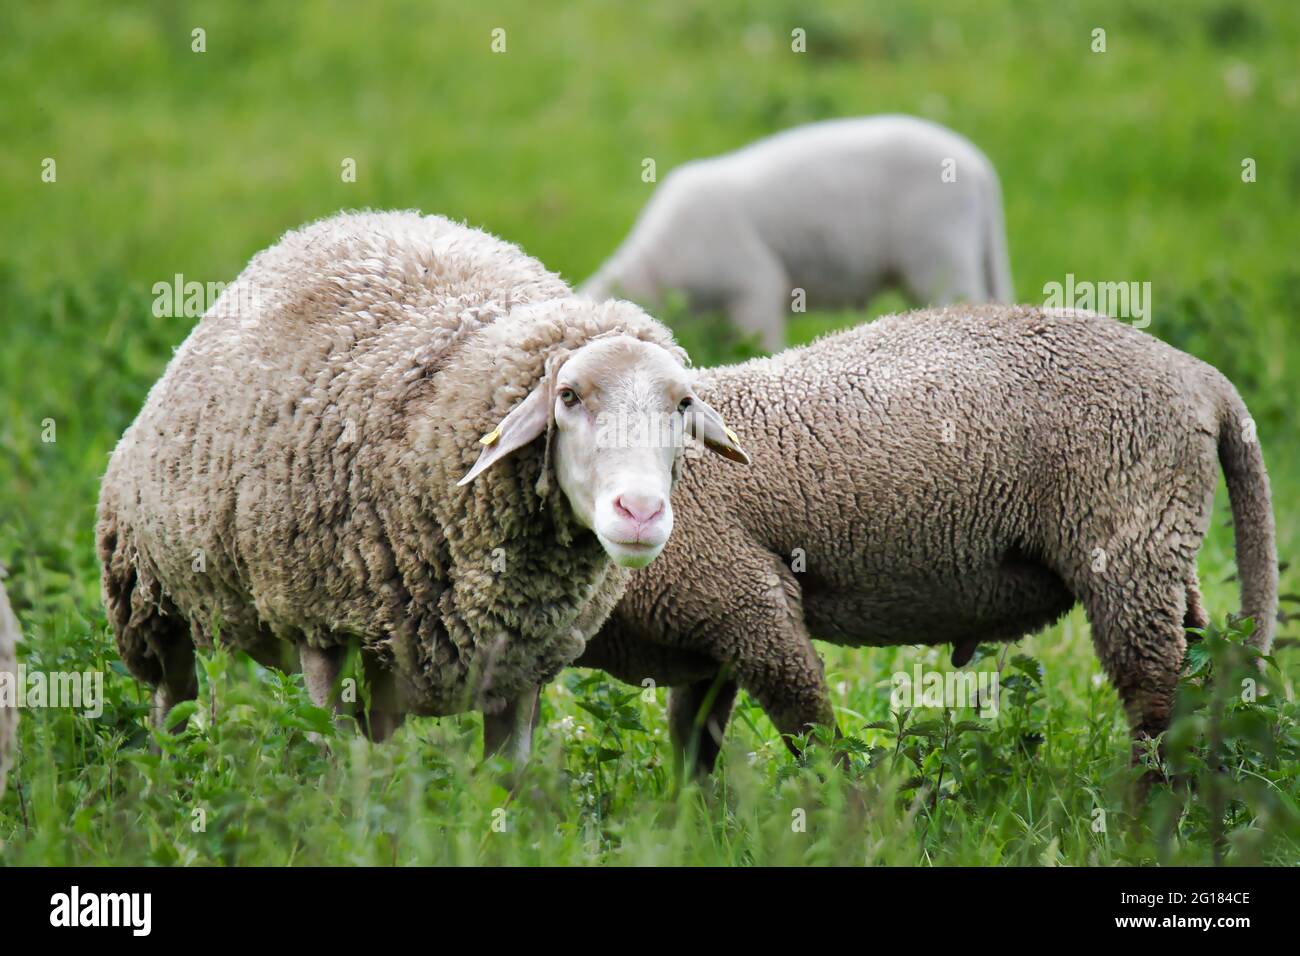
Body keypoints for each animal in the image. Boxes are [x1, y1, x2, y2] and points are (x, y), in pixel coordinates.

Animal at [96, 210, 748, 761]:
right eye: (568, 396)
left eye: (683, 404)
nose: (639, 512)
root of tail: (346, 217)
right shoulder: (317, 624)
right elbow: (334, 750)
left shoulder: (520, 660)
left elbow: (506, 776)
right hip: (150, 595)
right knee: (174, 699)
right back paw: (166, 772)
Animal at [578, 305, 1277, 778]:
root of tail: (1201, 379)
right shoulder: (709, 633)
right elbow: (694, 749)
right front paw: (692, 829)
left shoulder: (746, 600)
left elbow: (812, 731)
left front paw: (843, 817)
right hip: (1164, 542)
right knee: (1198, 664)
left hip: (1127, 542)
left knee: (1157, 699)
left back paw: (1145, 818)